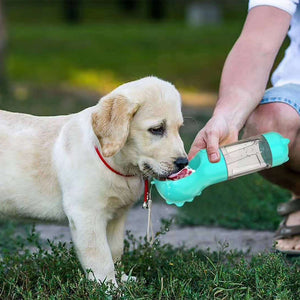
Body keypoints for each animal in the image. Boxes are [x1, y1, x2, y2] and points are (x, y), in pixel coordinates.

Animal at [0, 75, 188, 286]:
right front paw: (110, 287)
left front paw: (123, 278)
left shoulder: (117, 216)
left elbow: (116, 250)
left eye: (179, 128)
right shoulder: (86, 214)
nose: (183, 162)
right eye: (157, 129)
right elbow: (101, 257)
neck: (116, 164)